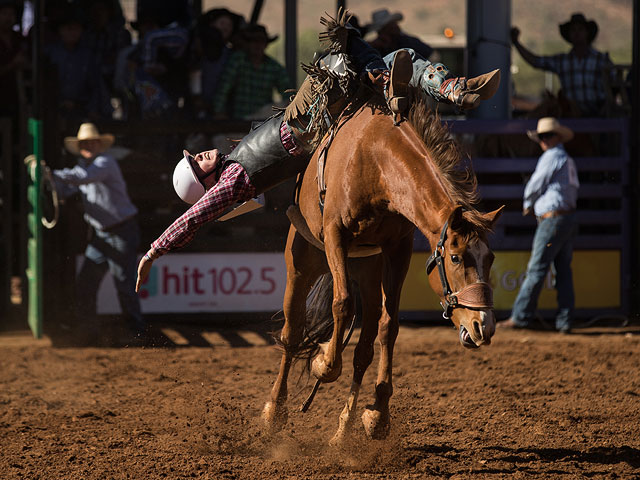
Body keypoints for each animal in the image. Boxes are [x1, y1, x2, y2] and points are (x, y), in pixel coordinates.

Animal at [262, 94, 502, 446]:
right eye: (456, 258)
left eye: (491, 258)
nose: (483, 325)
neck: (378, 162)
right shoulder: (335, 234)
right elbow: (342, 304)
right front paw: (323, 363)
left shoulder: (398, 248)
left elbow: (390, 326)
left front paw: (378, 415)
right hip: (303, 264)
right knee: (292, 334)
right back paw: (274, 412)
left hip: (368, 274)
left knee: (363, 349)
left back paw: (342, 432)